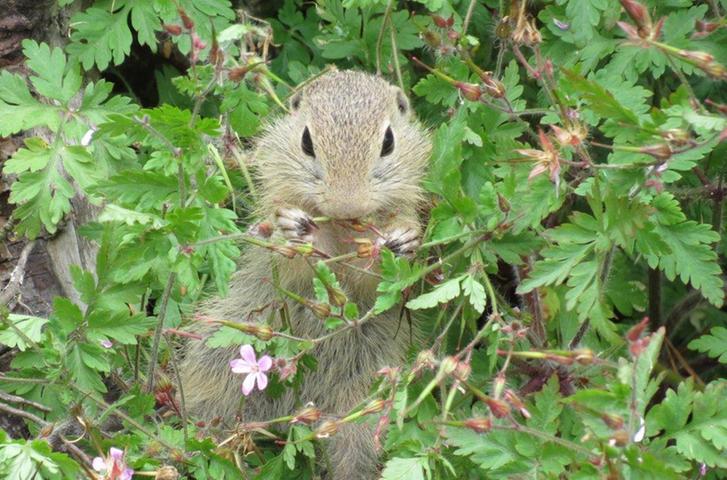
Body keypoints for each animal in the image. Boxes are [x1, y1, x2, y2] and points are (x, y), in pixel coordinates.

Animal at [182, 69, 432, 478]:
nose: (347, 206)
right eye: (306, 142)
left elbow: (375, 280)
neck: (344, 229)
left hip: (364, 400)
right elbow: (292, 261)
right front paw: (297, 228)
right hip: (216, 362)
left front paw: (400, 241)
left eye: (389, 141)